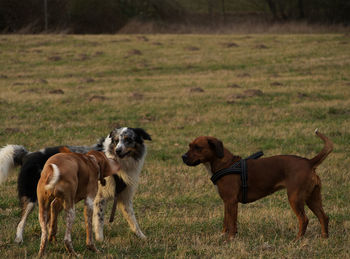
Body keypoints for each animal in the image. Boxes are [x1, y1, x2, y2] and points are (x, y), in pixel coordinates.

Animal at [183, 131, 334, 241]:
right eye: (189, 146)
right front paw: (223, 236)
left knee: (304, 219)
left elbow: (232, 223)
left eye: (198, 148)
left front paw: (230, 239)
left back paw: (297, 239)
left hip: (295, 198)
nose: (183, 157)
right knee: (323, 217)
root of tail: (309, 162)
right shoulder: (227, 202)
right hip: (312, 198)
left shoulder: (231, 201)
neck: (226, 164)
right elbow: (226, 221)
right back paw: (324, 238)